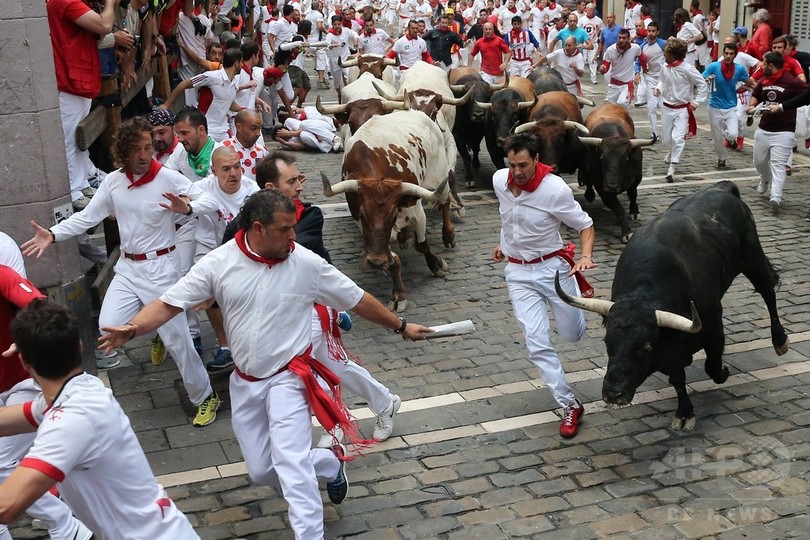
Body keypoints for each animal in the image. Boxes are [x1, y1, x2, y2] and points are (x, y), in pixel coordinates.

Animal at [552, 181, 784, 430]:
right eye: (607, 343)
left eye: (645, 348)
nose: (613, 394)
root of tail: (721, 188)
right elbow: (677, 379)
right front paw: (684, 413)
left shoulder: (713, 324)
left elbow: (712, 366)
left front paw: (722, 372)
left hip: (753, 259)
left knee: (768, 293)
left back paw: (780, 340)